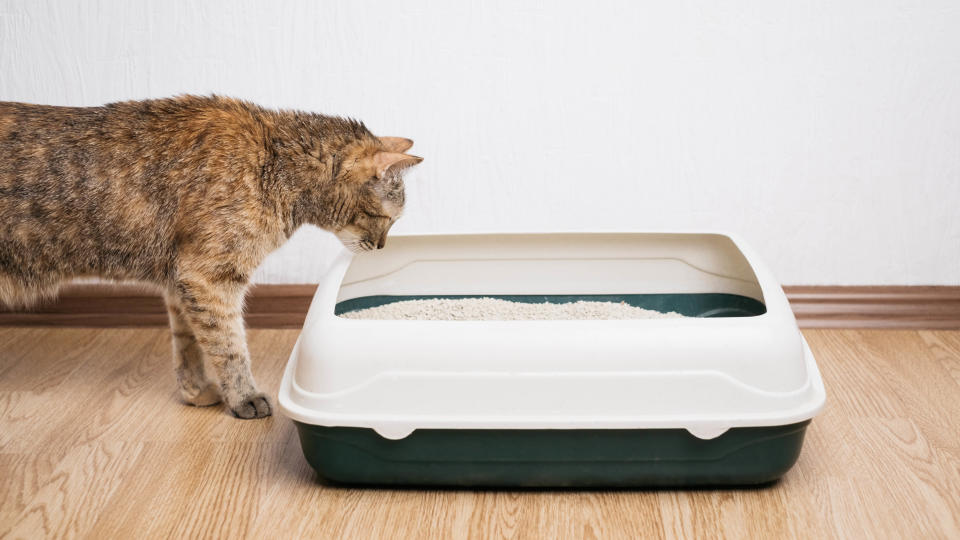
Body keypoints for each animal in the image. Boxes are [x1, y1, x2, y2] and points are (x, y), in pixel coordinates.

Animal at [0, 96, 422, 418]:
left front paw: (197, 391)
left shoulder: (180, 282)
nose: (382, 246)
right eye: (386, 218)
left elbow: (189, 344)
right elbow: (230, 345)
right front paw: (244, 397)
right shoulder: (209, 277)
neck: (273, 162)